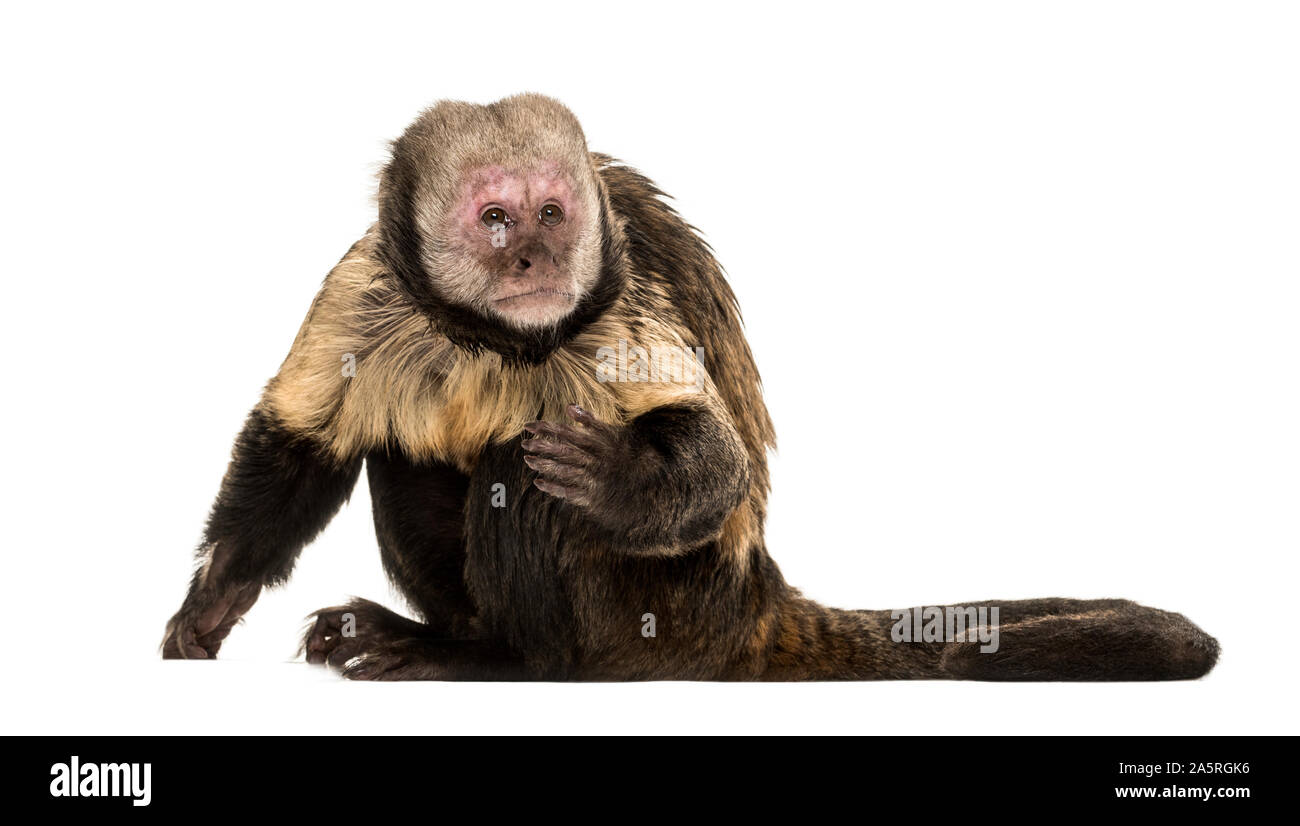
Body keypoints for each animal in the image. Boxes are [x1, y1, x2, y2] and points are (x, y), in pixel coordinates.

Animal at [159, 93, 1216, 681]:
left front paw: (618, 479)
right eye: (496, 219)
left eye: (552, 213)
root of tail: (753, 598)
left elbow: (707, 461)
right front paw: (211, 605)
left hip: (669, 610)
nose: (537, 257)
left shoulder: (615, 304)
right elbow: (302, 444)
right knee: (408, 449)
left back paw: (504, 661)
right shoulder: (364, 285)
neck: (497, 339)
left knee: (518, 470)